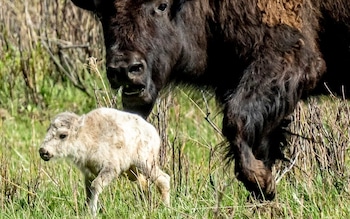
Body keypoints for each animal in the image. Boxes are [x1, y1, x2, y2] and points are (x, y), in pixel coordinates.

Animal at [39, 108, 170, 216]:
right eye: (48, 130)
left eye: (63, 135)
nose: (43, 151)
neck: (87, 135)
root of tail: (153, 132)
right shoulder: (89, 173)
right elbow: (88, 192)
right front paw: (85, 211)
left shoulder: (110, 168)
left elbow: (96, 186)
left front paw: (93, 212)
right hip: (133, 171)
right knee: (144, 185)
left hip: (145, 163)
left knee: (163, 179)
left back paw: (165, 208)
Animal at [69, 0, 350, 200]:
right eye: (103, 11)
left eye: (162, 5)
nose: (125, 69)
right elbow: (260, 140)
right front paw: (263, 191)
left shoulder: (288, 59)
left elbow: (236, 120)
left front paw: (261, 181)